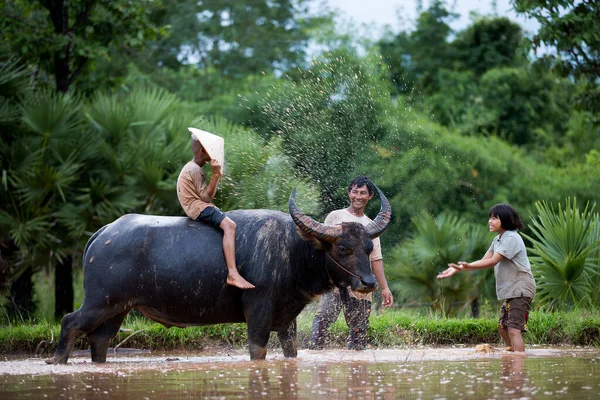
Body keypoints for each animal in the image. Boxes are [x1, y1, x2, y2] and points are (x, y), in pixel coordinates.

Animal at [48, 186, 394, 364]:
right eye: (342, 248)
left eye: (368, 247)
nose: (368, 283)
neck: (293, 249)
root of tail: (103, 233)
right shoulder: (258, 312)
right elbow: (257, 351)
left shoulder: (286, 319)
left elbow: (291, 351)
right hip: (98, 302)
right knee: (70, 323)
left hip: (118, 308)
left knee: (100, 340)